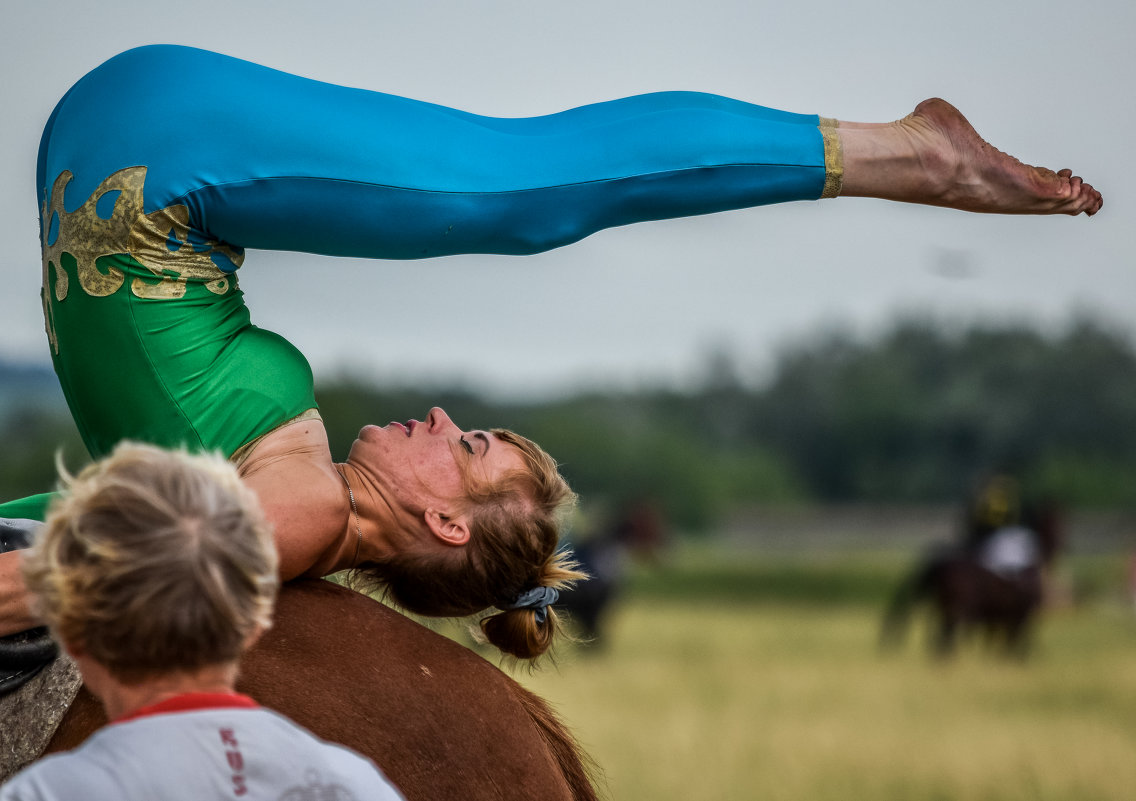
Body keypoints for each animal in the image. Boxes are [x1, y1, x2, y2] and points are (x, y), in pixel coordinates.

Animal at [876, 490, 1063, 658]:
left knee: (943, 640)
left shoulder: (998, 617)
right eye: (1056, 522)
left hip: (948, 608)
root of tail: (940, 564)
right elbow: (1012, 644)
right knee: (946, 640)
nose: (1063, 546)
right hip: (956, 610)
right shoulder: (1018, 615)